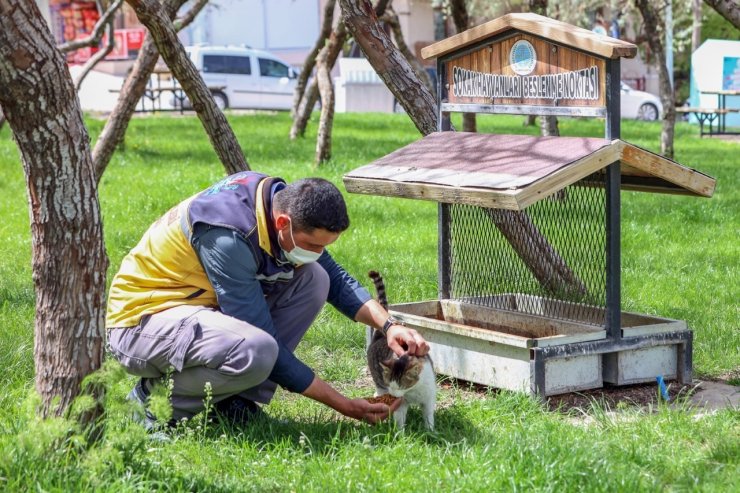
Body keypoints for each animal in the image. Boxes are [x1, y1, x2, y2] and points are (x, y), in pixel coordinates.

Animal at [368, 270, 436, 428]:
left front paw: (431, 431)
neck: (414, 390)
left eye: (400, 386)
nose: (392, 395)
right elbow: (399, 419)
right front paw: (399, 433)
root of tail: (381, 334)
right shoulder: (400, 403)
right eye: (390, 384)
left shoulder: (429, 398)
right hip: (377, 378)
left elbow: (429, 416)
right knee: (379, 388)